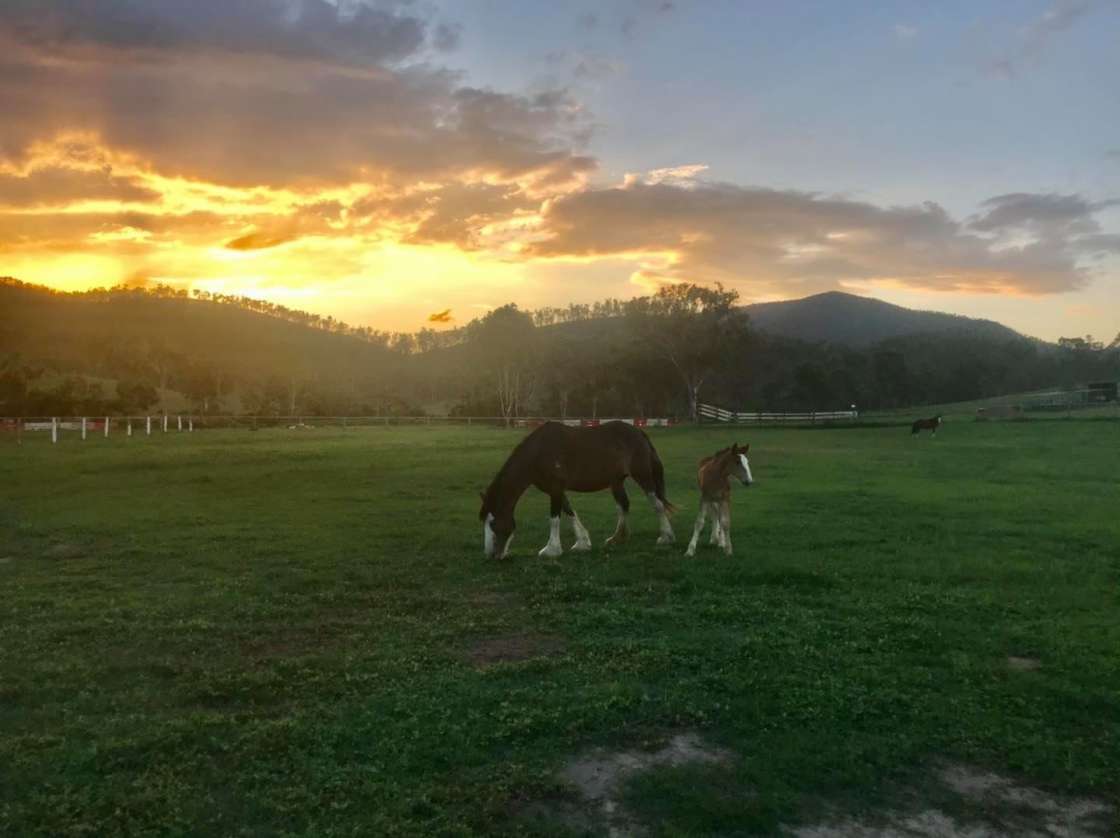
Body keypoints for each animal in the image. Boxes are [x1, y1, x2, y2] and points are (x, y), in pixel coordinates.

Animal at [479, 421, 672, 560]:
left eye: (492, 523)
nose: (491, 555)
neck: (539, 452)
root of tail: (639, 433)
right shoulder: (554, 489)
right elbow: (569, 511)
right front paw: (582, 543)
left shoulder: (555, 488)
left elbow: (554, 518)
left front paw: (551, 549)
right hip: (616, 481)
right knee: (623, 505)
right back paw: (617, 538)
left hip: (642, 476)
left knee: (657, 504)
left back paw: (666, 537)